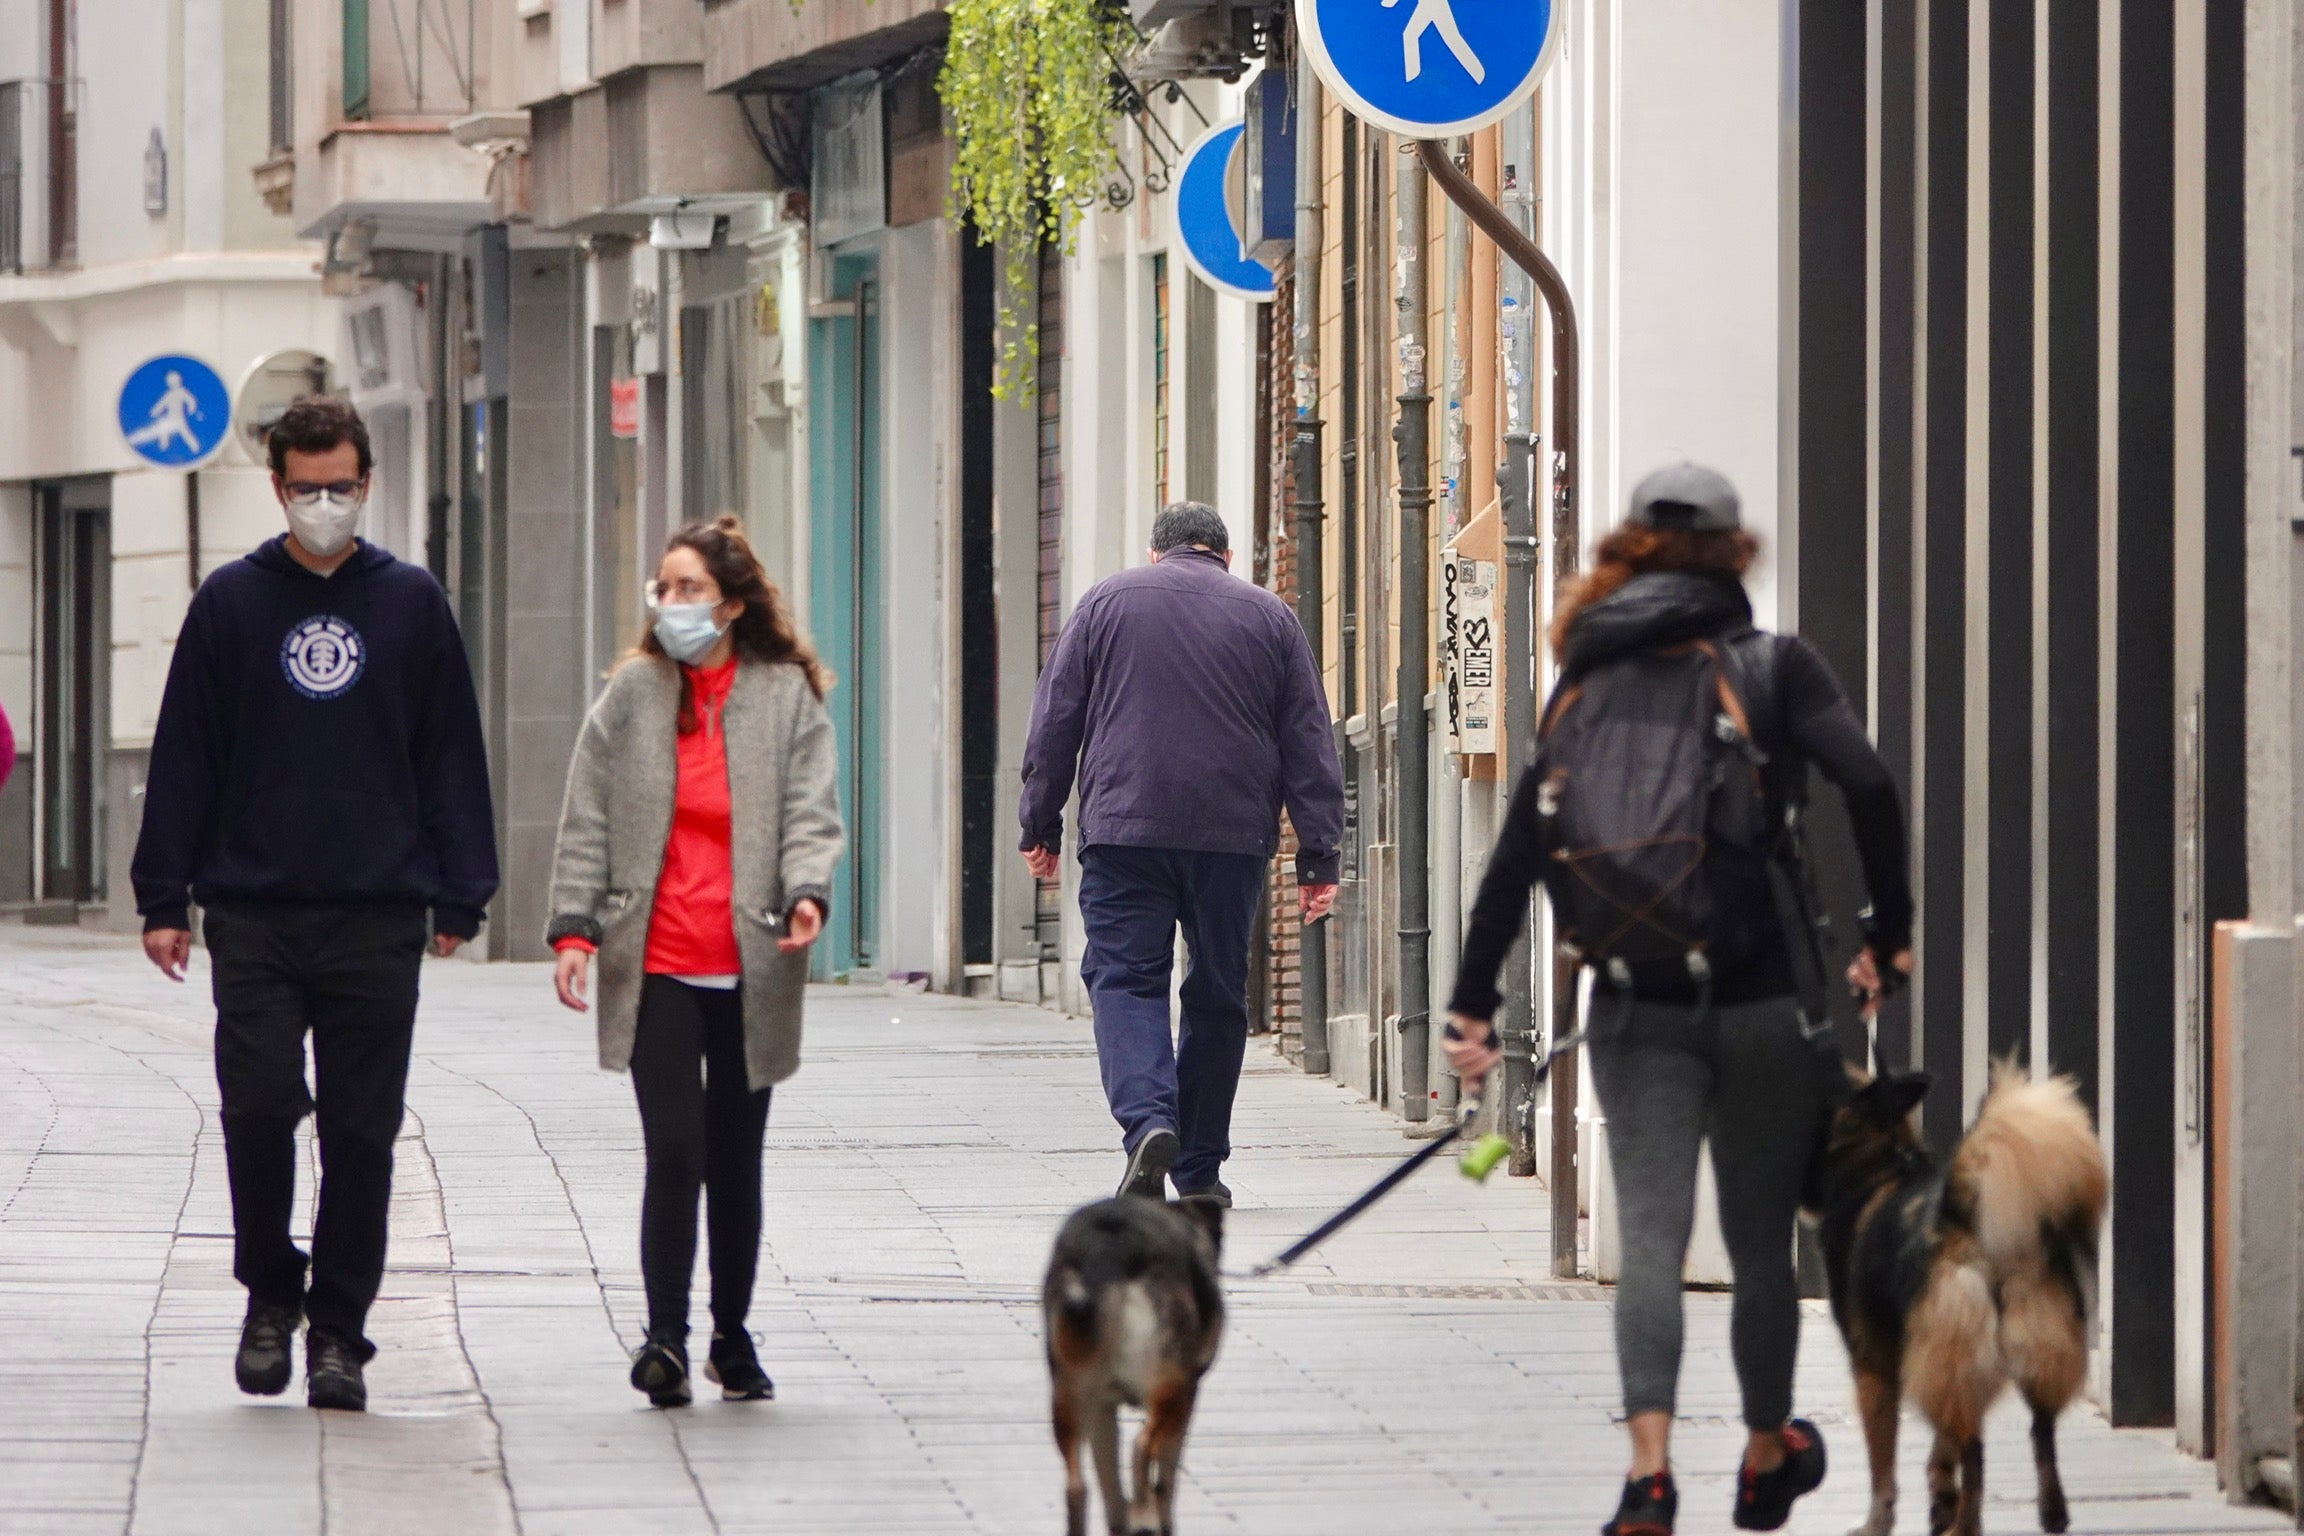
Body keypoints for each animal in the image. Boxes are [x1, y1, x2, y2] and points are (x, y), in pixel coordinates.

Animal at [1046, 1197, 1225, 1536]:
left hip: (1069, 1394)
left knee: (1078, 1487)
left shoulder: (1102, 1408)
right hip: (1171, 1385)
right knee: (1141, 1449)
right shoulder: (1188, 1395)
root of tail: (1110, 1247)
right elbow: (1167, 1471)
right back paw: (1144, 1513)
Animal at [1815, 1063, 2110, 1536]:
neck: (1876, 1167)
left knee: (1977, 1456)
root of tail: (1970, 1222)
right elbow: (1943, 1444)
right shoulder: (1940, 1360)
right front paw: (1940, 1497)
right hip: (2024, 1347)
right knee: (2039, 1432)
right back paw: (2051, 1511)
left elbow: (1883, 1462)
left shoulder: (1875, 1366)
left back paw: (1968, 1524)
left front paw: (1880, 1521)